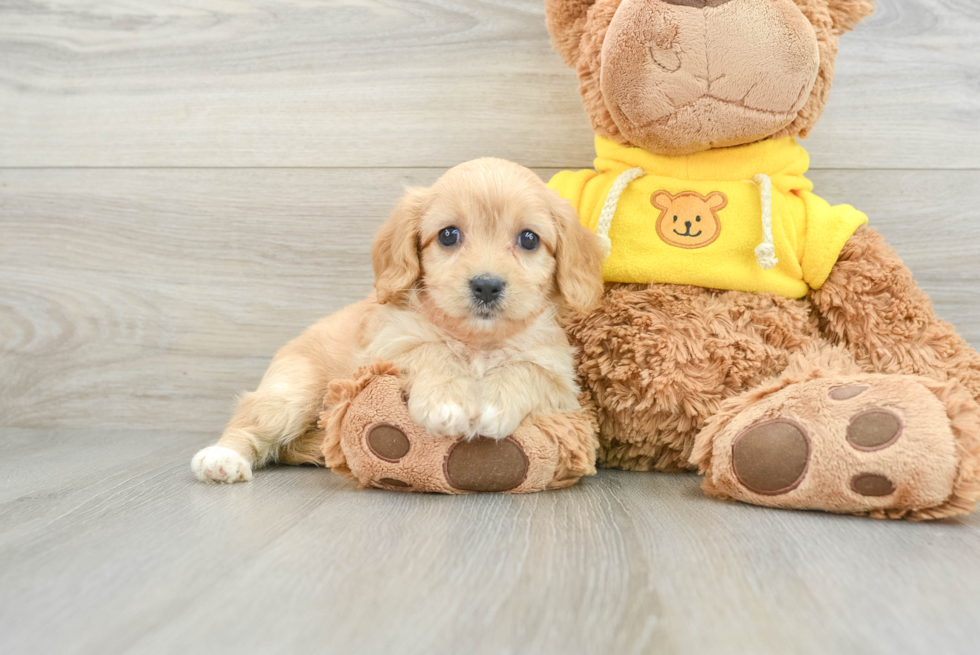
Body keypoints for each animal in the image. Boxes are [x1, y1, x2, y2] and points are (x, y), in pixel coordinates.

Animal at [191, 159, 604, 482]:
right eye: (449, 235)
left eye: (529, 240)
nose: (487, 285)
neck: (476, 341)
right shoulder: (389, 347)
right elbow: (433, 351)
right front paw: (447, 403)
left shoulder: (558, 380)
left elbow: (523, 370)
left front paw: (492, 405)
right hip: (293, 391)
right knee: (252, 419)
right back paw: (222, 458)